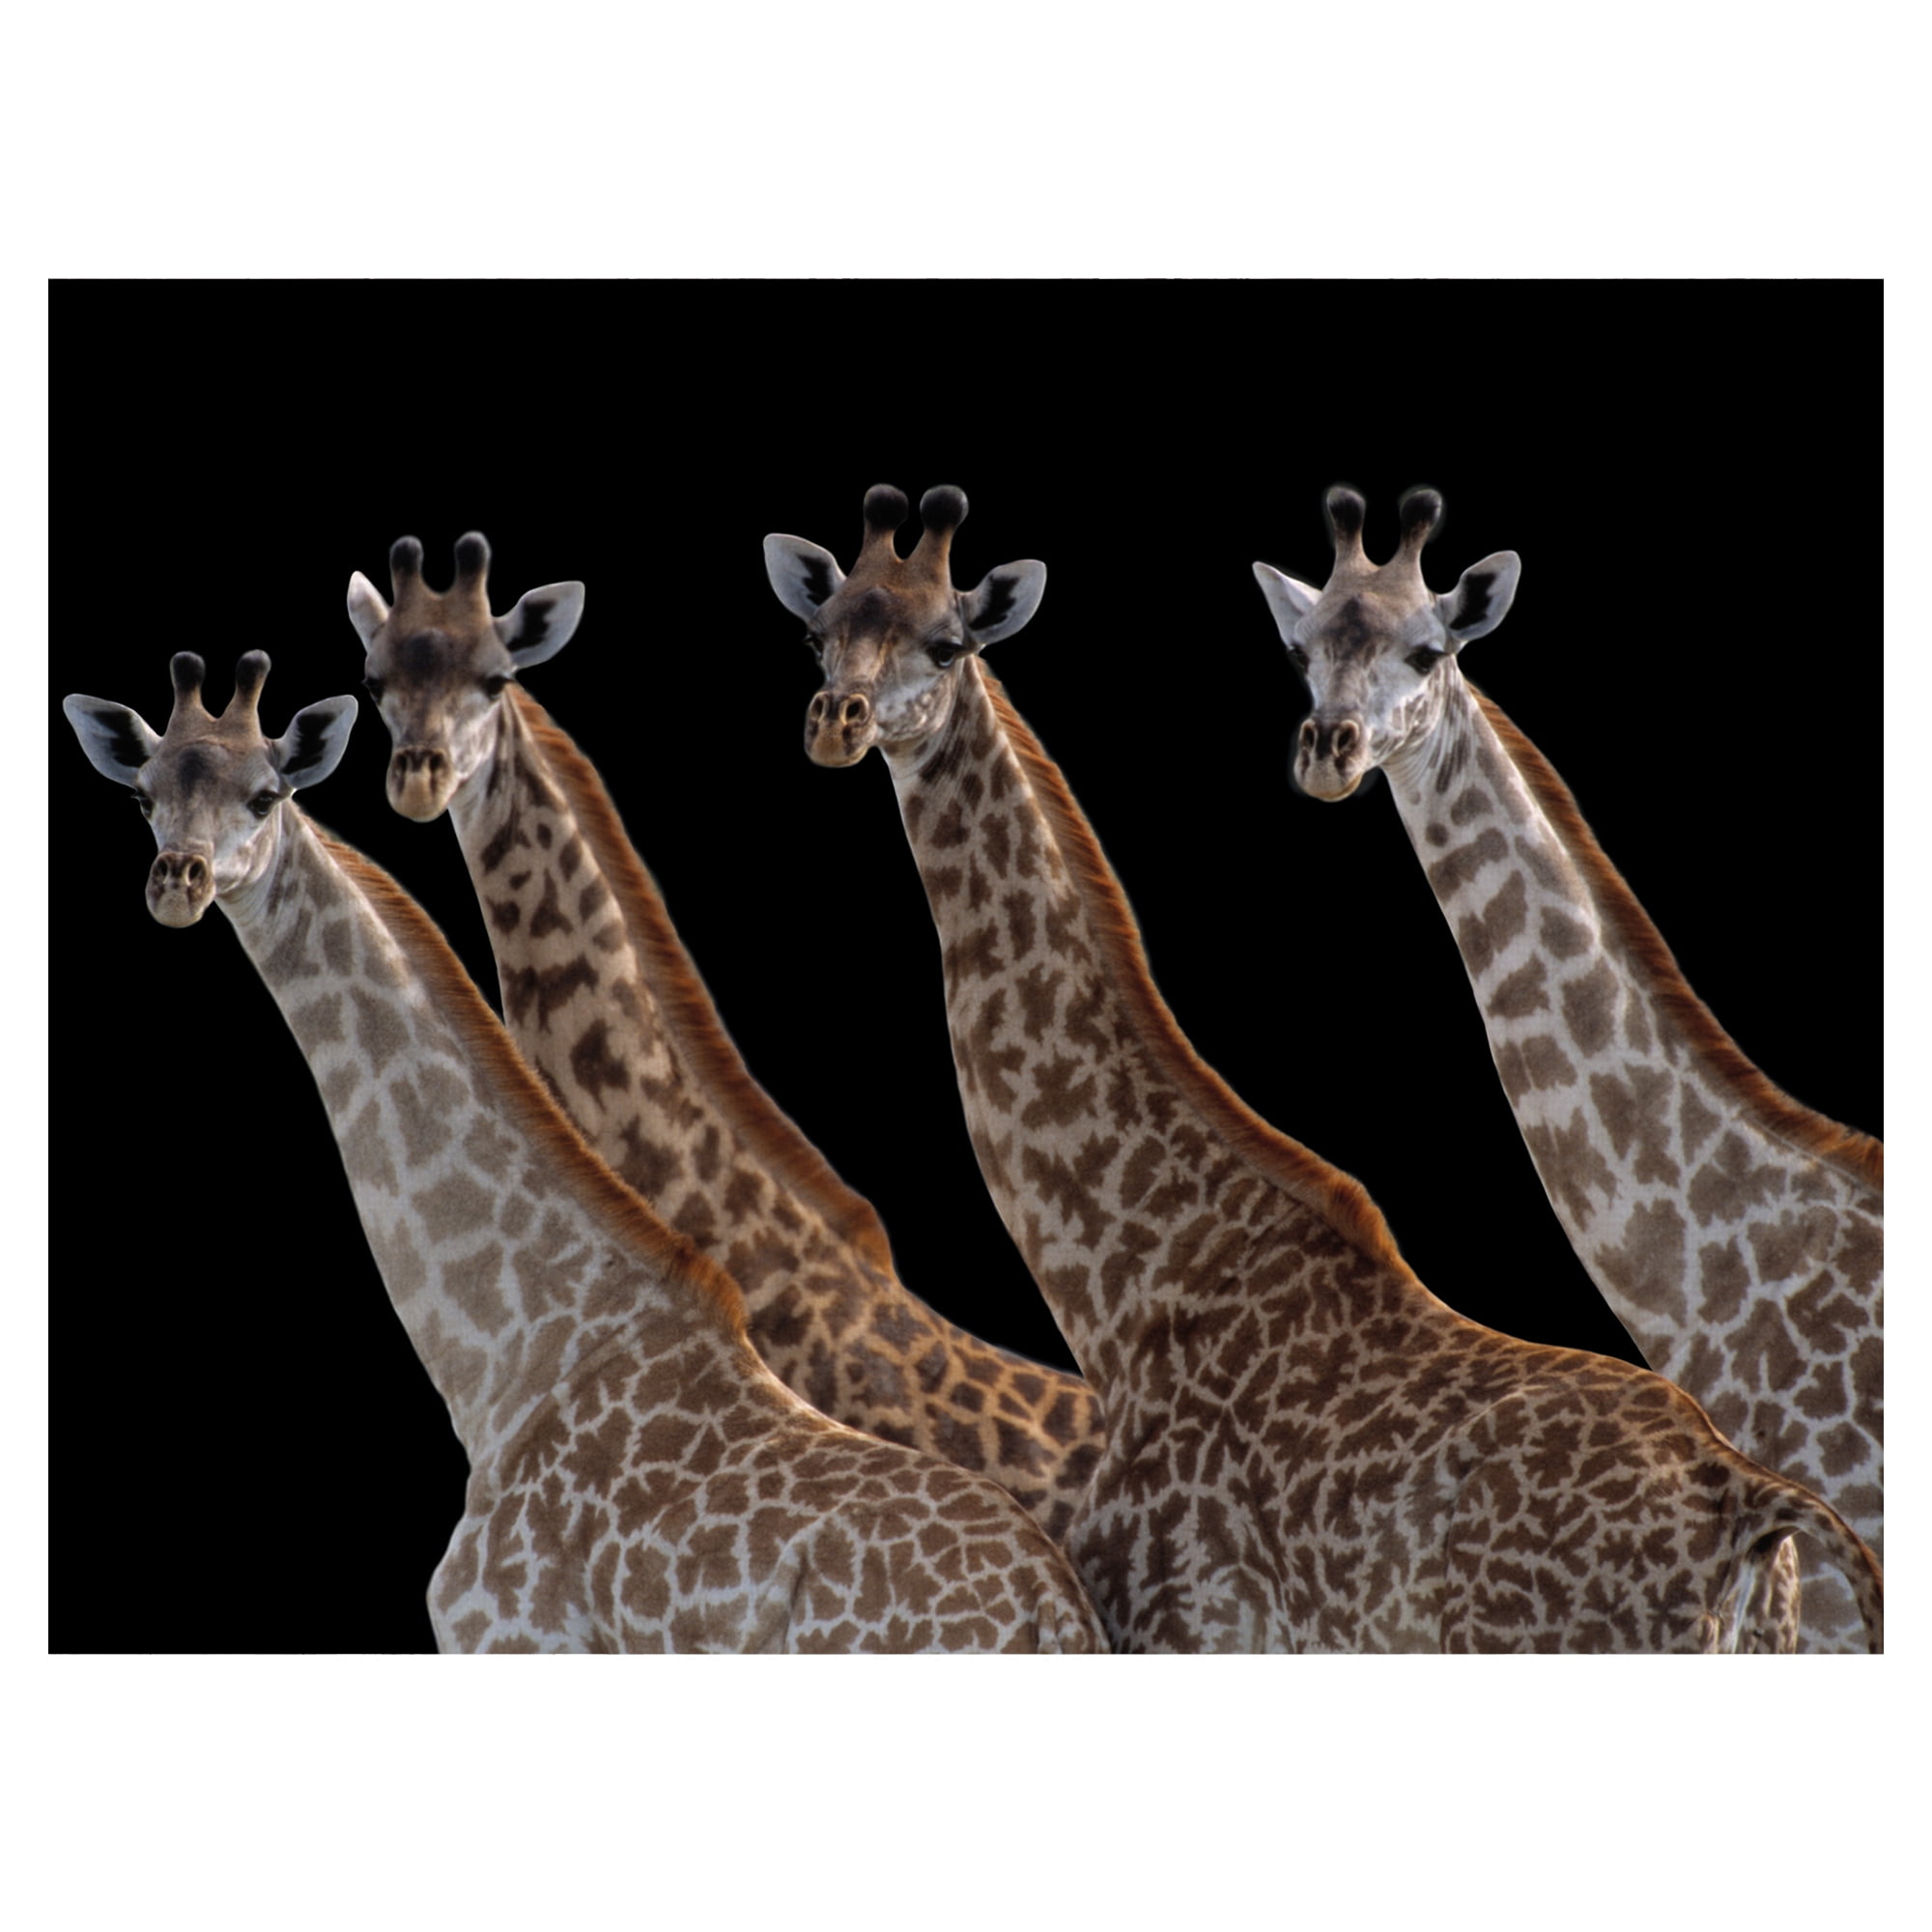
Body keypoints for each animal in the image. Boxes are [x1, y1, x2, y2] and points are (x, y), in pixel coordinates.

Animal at [61, 650, 1109, 1652]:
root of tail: (1051, 1611)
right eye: (144, 794)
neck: (514, 1356)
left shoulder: (511, 1638)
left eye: (265, 793)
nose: (179, 881)